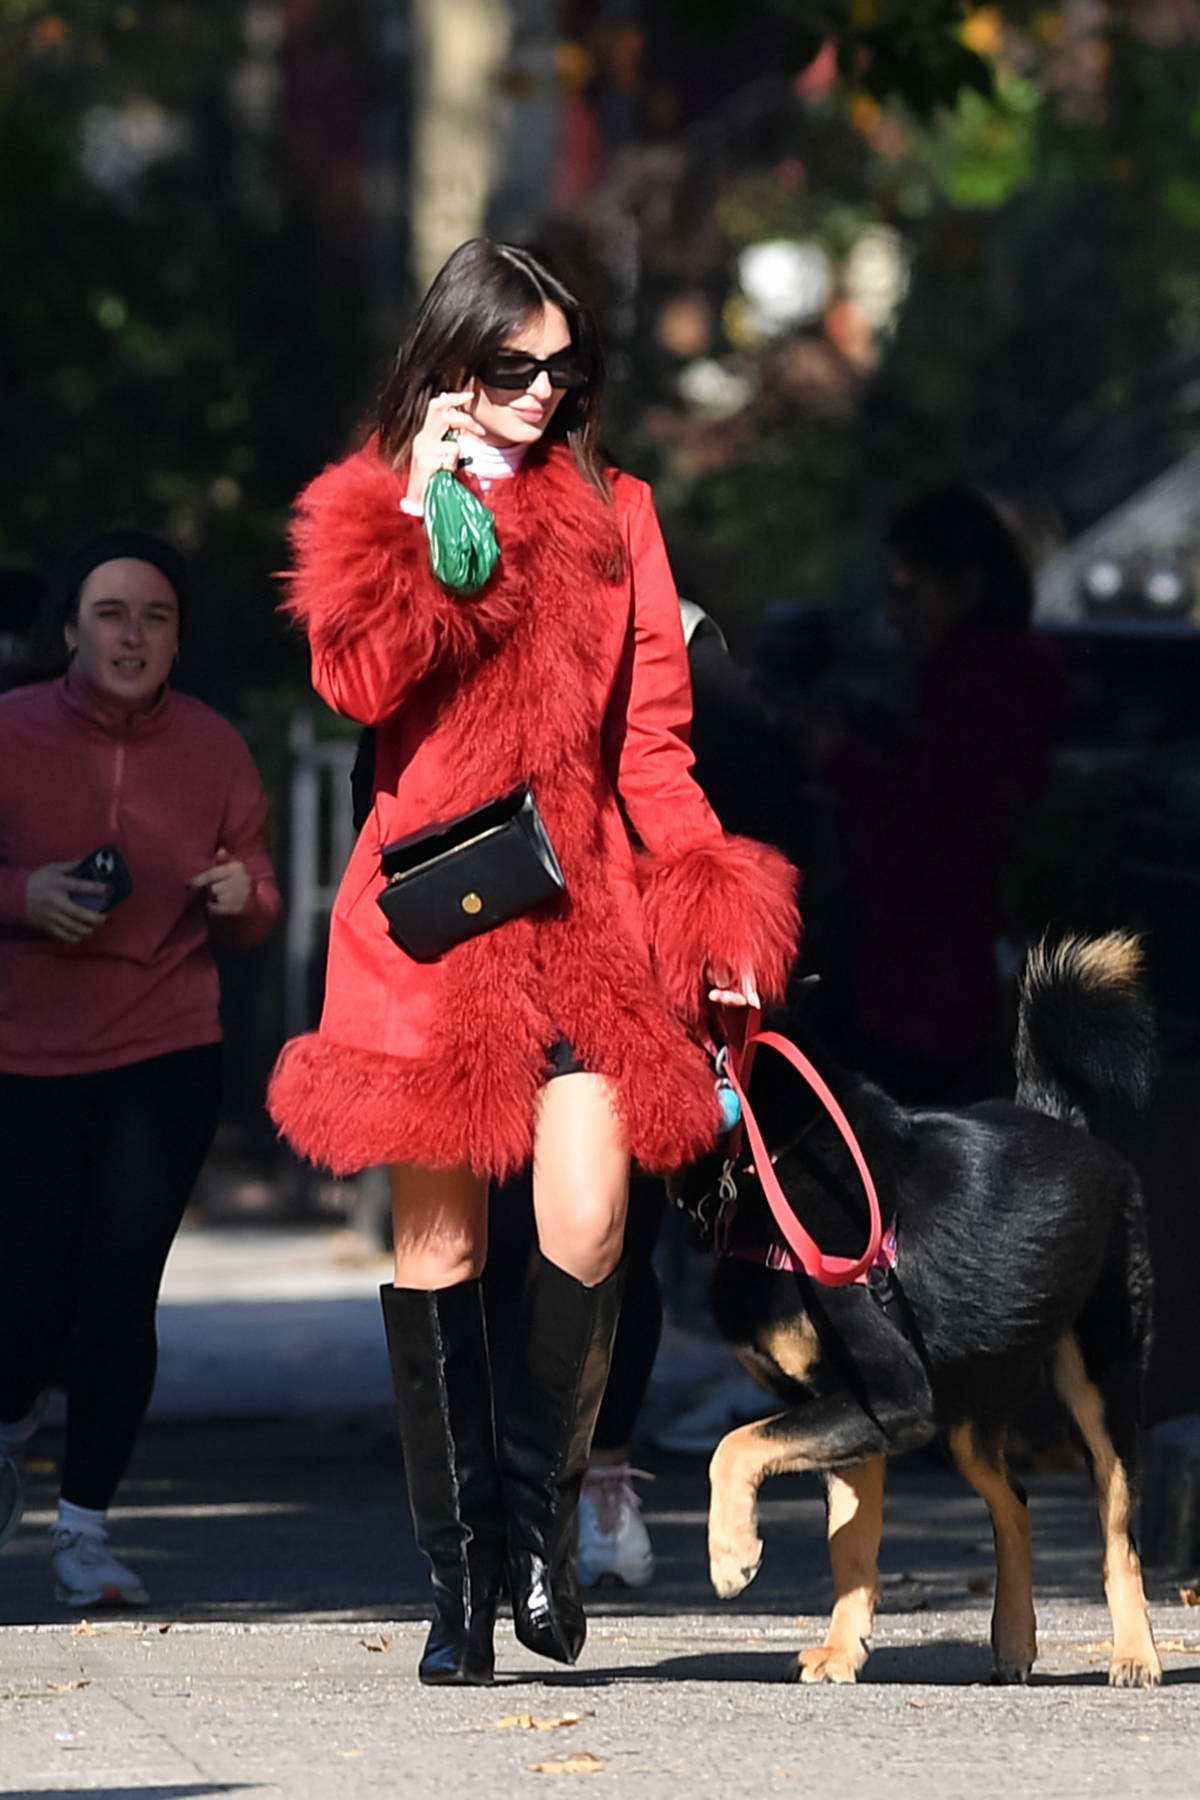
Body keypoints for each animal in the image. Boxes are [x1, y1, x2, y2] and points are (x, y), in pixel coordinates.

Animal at [690, 943, 1165, 1684]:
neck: (776, 1157)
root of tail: (1063, 1118)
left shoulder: (889, 1395)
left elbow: (734, 1446)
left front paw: (731, 1554)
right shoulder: (855, 1413)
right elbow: (850, 1543)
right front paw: (842, 1649)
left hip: (1100, 1388)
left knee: (1119, 1535)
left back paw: (1135, 1652)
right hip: (965, 1417)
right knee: (1015, 1504)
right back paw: (1014, 1641)